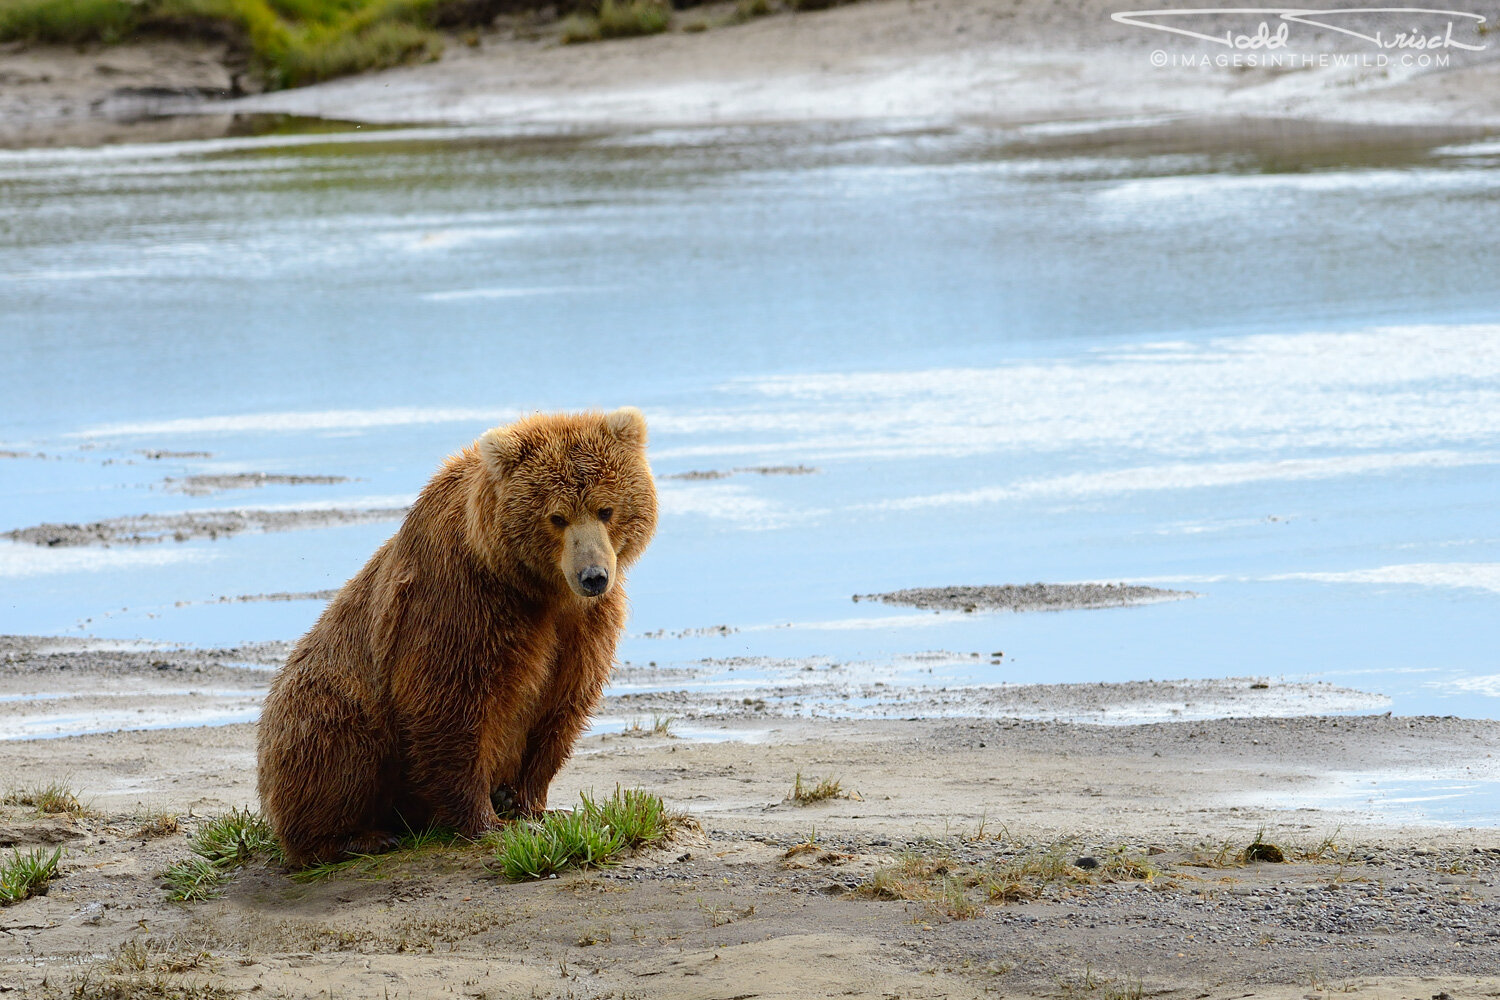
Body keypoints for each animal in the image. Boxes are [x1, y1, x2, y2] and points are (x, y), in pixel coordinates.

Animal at [256, 407, 657, 869]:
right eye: (557, 516)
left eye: (606, 509)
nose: (593, 576)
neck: (539, 588)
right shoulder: (463, 600)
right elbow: (450, 701)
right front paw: (486, 821)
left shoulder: (584, 624)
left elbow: (561, 704)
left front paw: (532, 804)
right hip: (327, 695)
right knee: (334, 738)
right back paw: (355, 837)